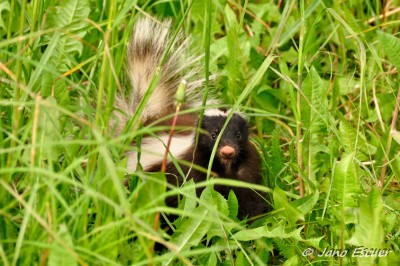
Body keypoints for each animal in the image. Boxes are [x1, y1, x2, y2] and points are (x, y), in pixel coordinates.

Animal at [113, 17, 268, 219]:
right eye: (213, 135)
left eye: (238, 135)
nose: (227, 150)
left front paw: (255, 218)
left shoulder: (246, 168)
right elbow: (193, 197)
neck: (224, 166)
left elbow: (249, 195)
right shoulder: (190, 171)